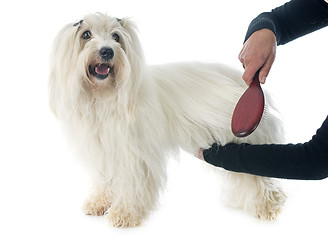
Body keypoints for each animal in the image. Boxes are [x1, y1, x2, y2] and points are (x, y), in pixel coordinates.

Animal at [48, 13, 288, 227]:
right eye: (85, 34)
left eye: (116, 36)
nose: (107, 51)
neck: (104, 97)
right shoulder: (103, 151)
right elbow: (104, 179)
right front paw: (99, 203)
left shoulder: (135, 154)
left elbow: (133, 184)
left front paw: (125, 214)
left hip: (242, 137)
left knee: (256, 176)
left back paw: (267, 207)